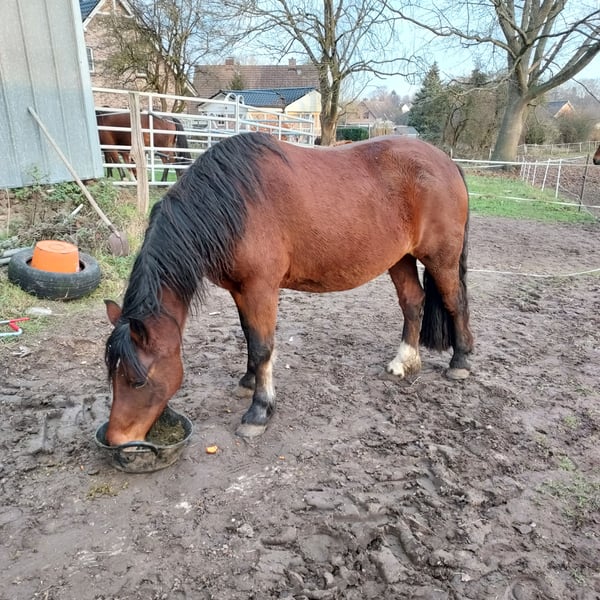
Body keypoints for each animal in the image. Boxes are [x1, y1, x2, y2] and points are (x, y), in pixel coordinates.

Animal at [104, 132, 474, 446]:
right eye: (113, 375)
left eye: (138, 380)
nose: (116, 439)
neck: (234, 201)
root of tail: (446, 162)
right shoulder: (240, 290)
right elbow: (249, 338)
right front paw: (248, 381)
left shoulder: (260, 288)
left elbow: (262, 346)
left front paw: (259, 411)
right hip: (400, 258)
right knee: (413, 301)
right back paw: (404, 362)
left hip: (440, 258)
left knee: (455, 302)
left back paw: (460, 362)